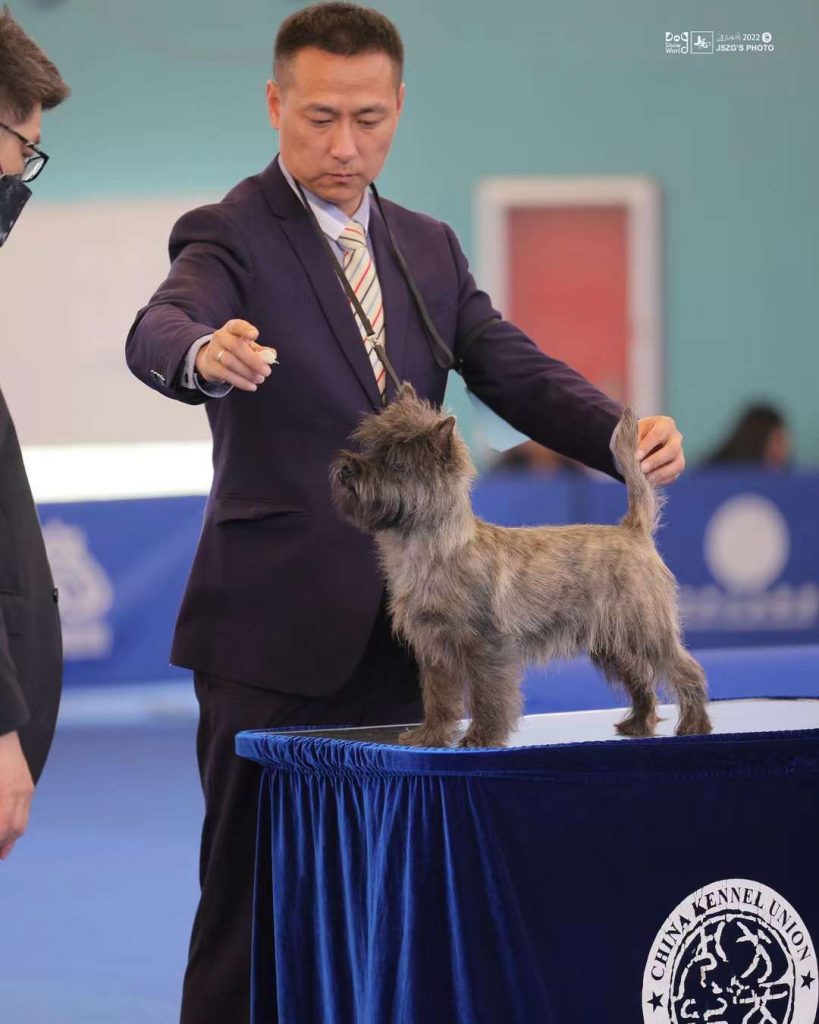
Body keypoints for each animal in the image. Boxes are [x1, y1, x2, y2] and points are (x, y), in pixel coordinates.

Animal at [331, 384, 712, 748]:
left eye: (395, 463)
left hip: (646, 629)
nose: (347, 467)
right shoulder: (434, 648)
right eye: (368, 449)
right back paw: (638, 725)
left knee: (684, 669)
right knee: (641, 678)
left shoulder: (488, 647)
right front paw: (431, 736)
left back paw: (694, 725)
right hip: (614, 643)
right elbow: (438, 699)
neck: (432, 550)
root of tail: (634, 530)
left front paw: (481, 737)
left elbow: (488, 697)